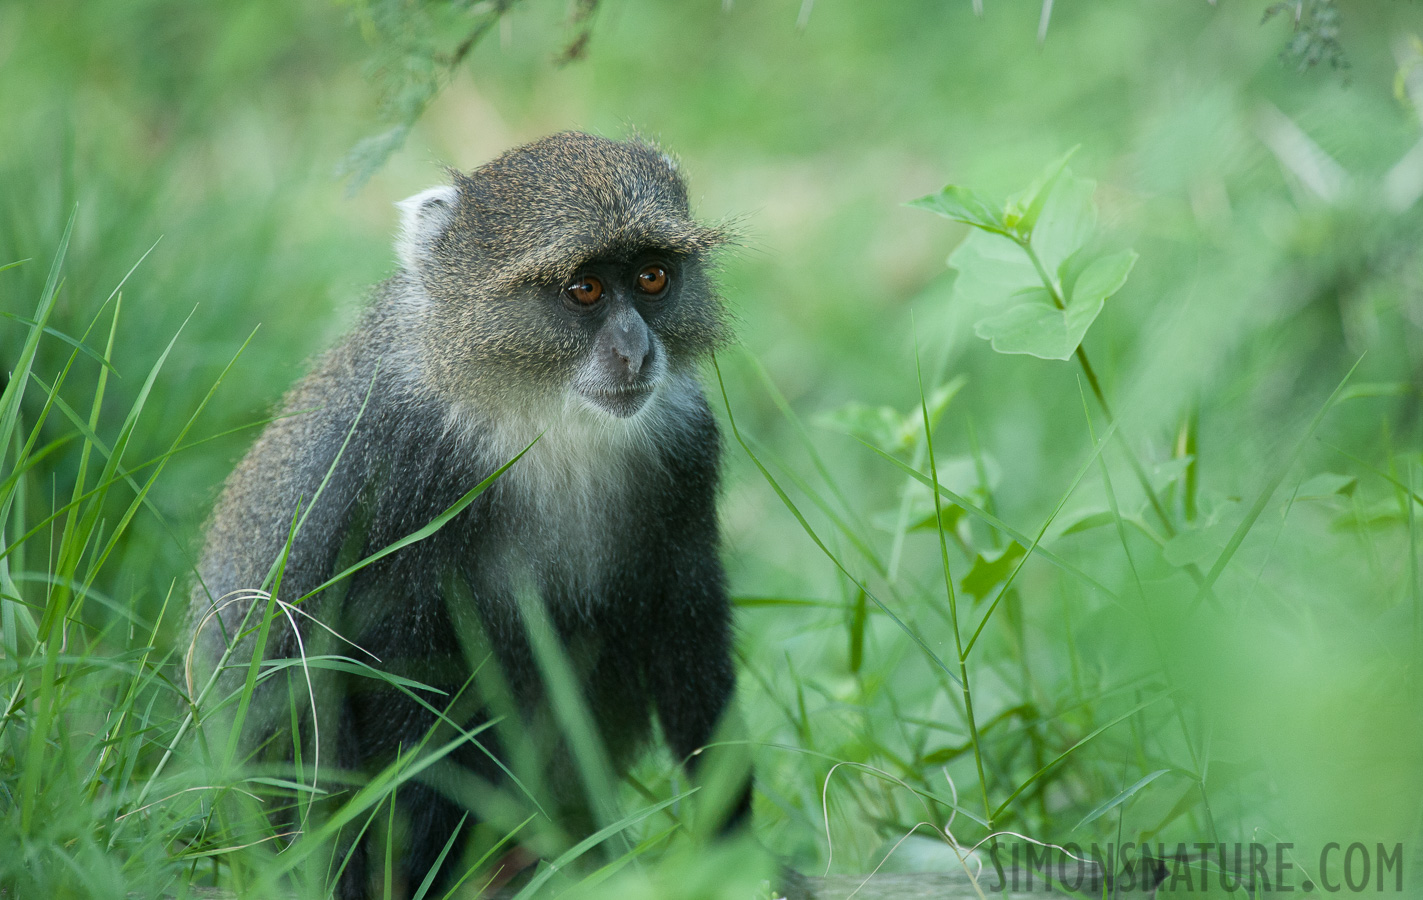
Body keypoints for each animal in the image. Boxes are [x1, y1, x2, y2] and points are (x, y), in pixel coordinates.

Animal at [190, 130, 774, 894]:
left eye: (652, 278)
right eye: (584, 289)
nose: (635, 351)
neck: (537, 415)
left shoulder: (683, 444)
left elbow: (687, 633)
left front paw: (734, 855)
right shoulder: (401, 462)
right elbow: (403, 686)